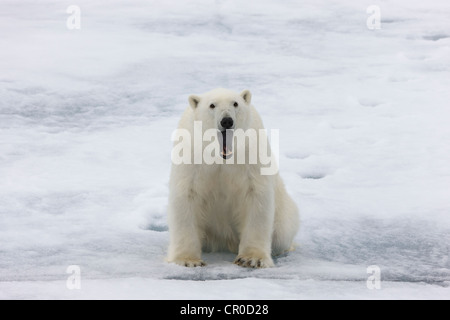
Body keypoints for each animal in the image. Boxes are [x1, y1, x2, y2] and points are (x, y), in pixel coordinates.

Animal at [167, 88, 298, 268]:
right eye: (212, 105)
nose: (227, 121)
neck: (221, 154)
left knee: (282, 235)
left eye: (235, 103)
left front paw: (251, 259)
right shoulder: (192, 157)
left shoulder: (250, 155)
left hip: (284, 213)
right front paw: (188, 260)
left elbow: (255, 196)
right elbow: (186, 196)